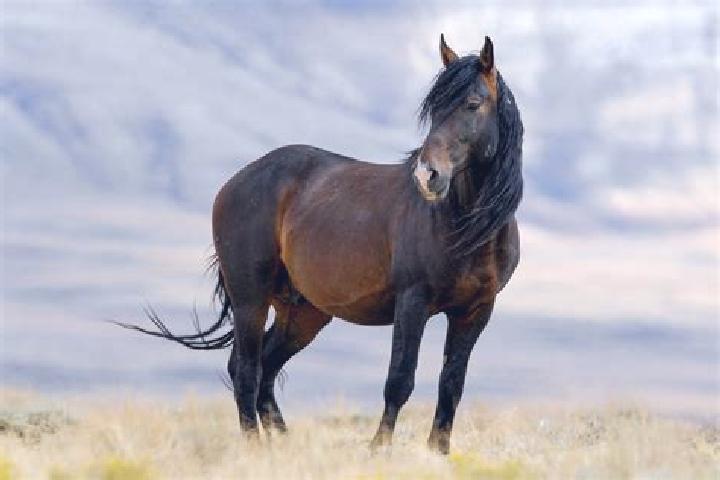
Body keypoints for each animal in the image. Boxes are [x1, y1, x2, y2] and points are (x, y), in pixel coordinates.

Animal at [120, 34, 523, 454]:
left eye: (473, 104)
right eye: (434, 110)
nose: (427, 175)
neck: (463, 228)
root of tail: (234, 182)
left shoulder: (474, 312)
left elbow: (451, 386)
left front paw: (438, 452)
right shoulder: (413, 301)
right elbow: (399, 380)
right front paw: (379, 448)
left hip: (303, 312)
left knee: (266, 366)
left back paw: (283, 444)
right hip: (251, 299)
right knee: (245, 368)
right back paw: (255, 447)